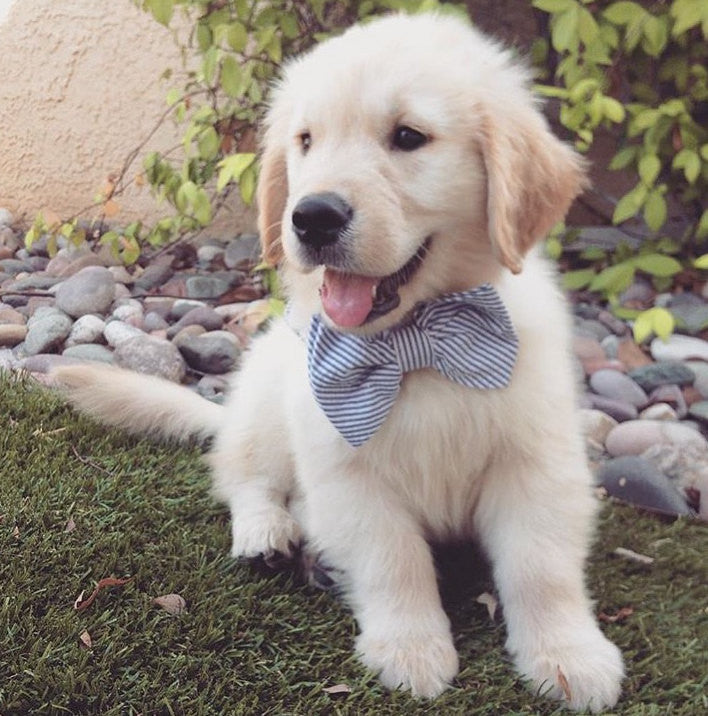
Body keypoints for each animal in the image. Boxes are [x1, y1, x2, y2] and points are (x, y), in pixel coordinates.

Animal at [54, 11, 620, 712]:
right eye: (306, 140)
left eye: (408, 137)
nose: (312, 216)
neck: (412, 342)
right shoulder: (347, 470)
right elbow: (393, 559)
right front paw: (411, 648)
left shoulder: (537, 463)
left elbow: (542, 568)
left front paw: (569, 653)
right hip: (269, 399)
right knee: (241, 474)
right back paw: (267, 534)